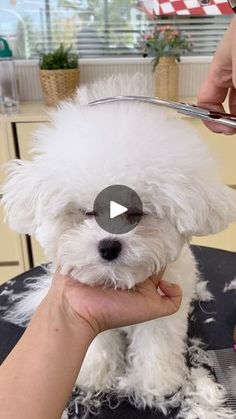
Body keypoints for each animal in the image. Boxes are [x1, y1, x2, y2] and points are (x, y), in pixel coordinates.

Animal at [1, 75, 236, 416]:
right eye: (87, 212)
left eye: (135, 213)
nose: (109, 247)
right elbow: (98, 343)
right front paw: (94, 373)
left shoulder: (161, 315)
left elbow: (155, 345)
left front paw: (155, 384)